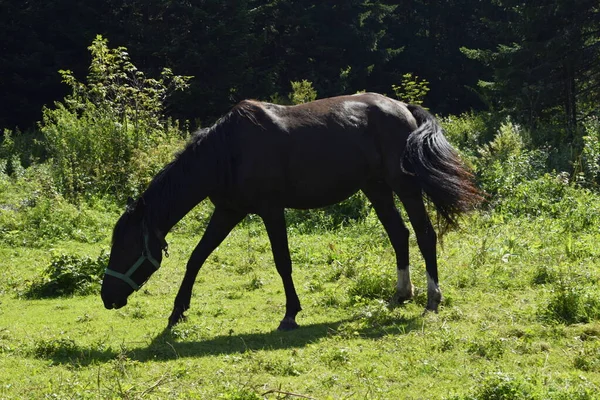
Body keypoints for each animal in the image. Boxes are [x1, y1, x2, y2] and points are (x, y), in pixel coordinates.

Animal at [101, 92, 480, 330]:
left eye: (126, 247)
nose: (107, 298)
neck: (226, 151)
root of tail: (403, 107)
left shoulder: (271, 210)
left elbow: (282, 261)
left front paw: (290, 314)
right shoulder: (228, 211)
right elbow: (197, 257)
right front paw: (177, 312)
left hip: (403, 185)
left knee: (424, 233)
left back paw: (432, 299)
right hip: (376, 188)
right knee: (399, 234)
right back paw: (401, 293)